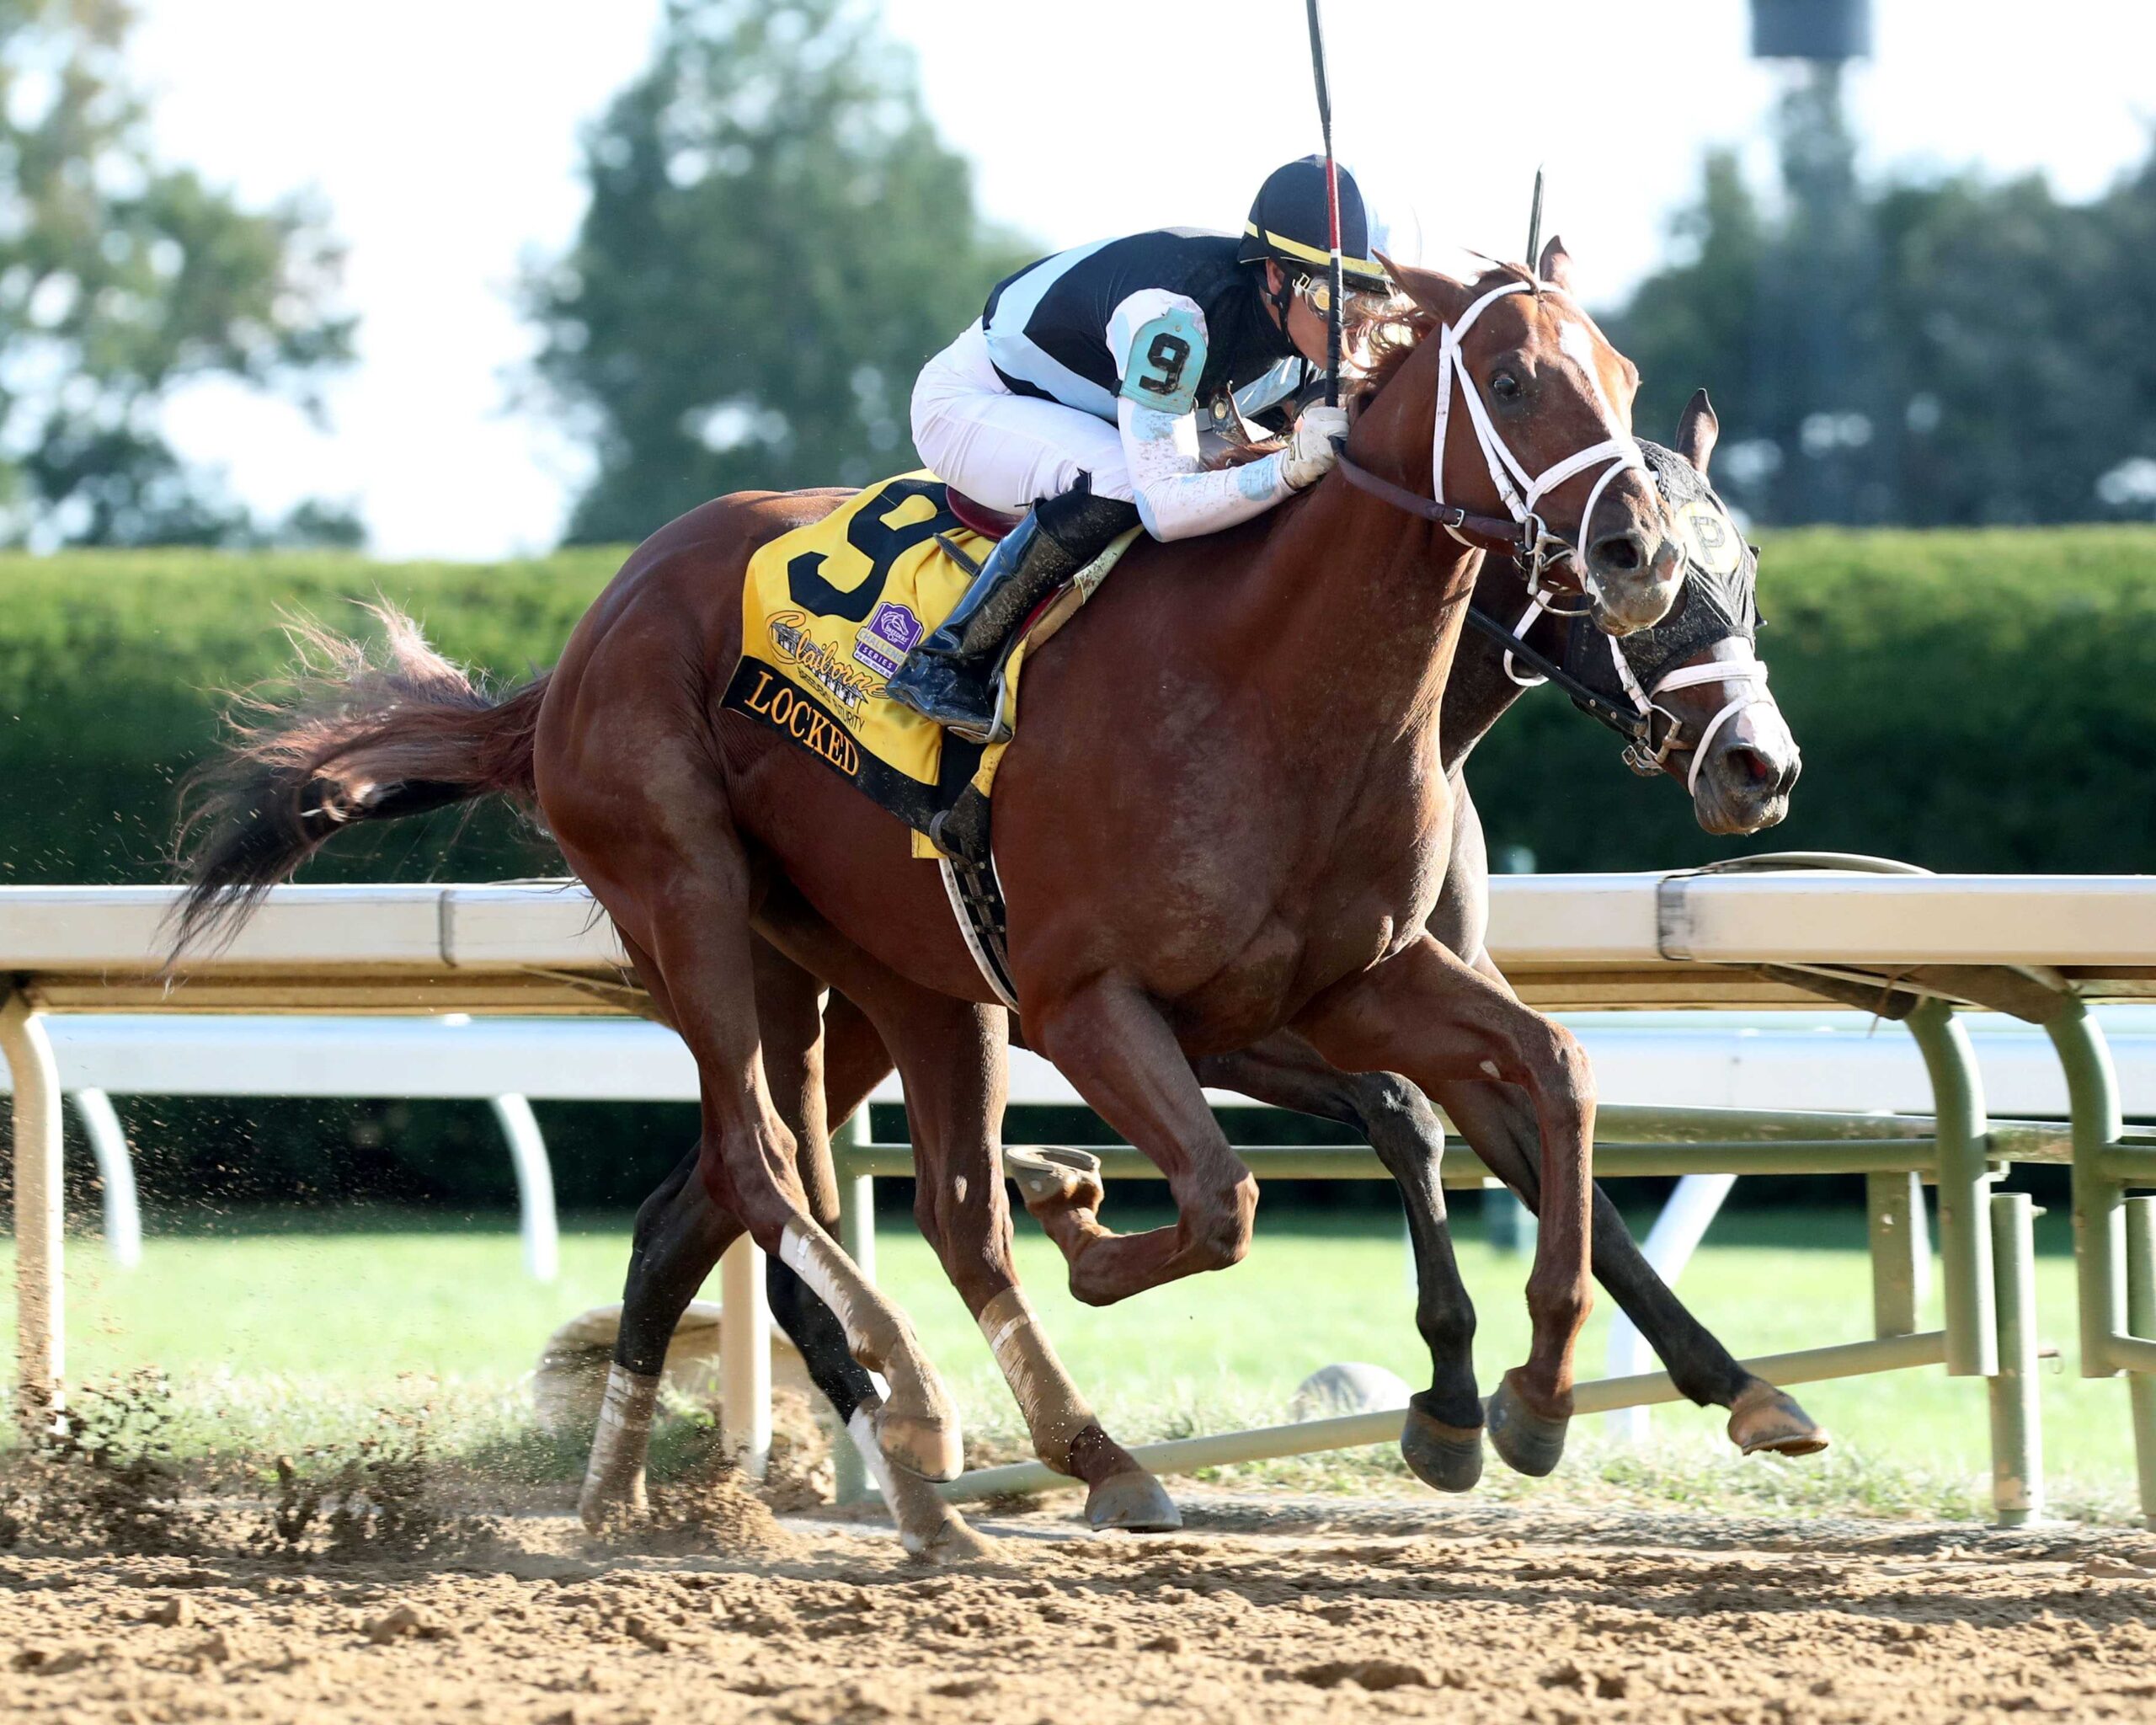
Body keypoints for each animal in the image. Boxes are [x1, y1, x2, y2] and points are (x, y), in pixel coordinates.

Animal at [174, 246, 1686, 1557]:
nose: (1638, 553)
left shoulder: (1351, 979)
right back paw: (916, 1408)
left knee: (892, 1210)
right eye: (1513, 379)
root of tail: (572, 653)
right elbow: (1223, 1197)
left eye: (1622, 371)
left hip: (886, 969)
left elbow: (1549, 1069)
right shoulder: (1090, 1000)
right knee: (765, 1168)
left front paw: (1536, 1397)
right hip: (687, 895)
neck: (1276, 685)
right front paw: (1081, 1212)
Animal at [572, 392, 1819, 1545]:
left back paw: (636, 1483)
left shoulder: (1400, 984)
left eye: (1745, 571)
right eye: (1631, 570)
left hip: (867, 993)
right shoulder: (1212, 1017)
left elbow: (1545, 1157)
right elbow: (1400, 1114)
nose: (1760, 766)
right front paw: (1453, 1398)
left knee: (695, 1209)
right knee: (763, 1183)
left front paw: (1733, 1387)